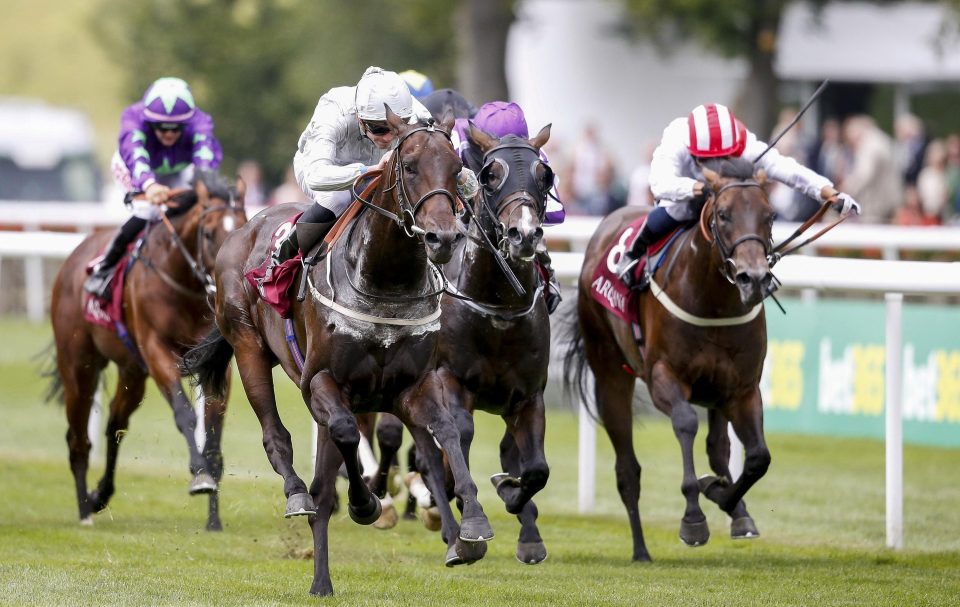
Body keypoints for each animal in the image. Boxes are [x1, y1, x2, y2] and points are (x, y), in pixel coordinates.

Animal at [48, 172, 248, 532]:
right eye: (208, 233)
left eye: (243, 226)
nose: (228, 281)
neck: (185, 286)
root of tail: (75, 257)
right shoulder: (157, 352)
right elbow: (185, 414)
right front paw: (200, 477)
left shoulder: (215, 364)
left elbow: (213, 435)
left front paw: (214, 518)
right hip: (79, 365)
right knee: (78, 438)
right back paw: (84, 509)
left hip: (132, 371)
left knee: (115, 424)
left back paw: (99, 495)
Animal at [181, 110, 496, 600]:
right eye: (409, 167)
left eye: (456, 167)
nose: (441, 237)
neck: (387, 284)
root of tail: (241, 231)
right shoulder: (321, 383)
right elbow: (345, 436)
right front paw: (366, 504)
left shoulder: (413, 385)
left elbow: (445, 431)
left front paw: (472, 525)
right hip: (249, 349)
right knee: (284, 446)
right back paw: (306, 522)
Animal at [564, 157, 780, 560]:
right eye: (723, 214)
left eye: (770, 215)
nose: (754, 278)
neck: (713, 301)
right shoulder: (664, 376)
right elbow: (684, 423)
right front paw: (693, 518)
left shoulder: (742, 388)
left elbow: (758, 457)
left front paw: (726, 499)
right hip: (609, 374)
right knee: (627, 470)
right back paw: (640, 550)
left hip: (715, 391)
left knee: (718, 448)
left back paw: (735, 510)